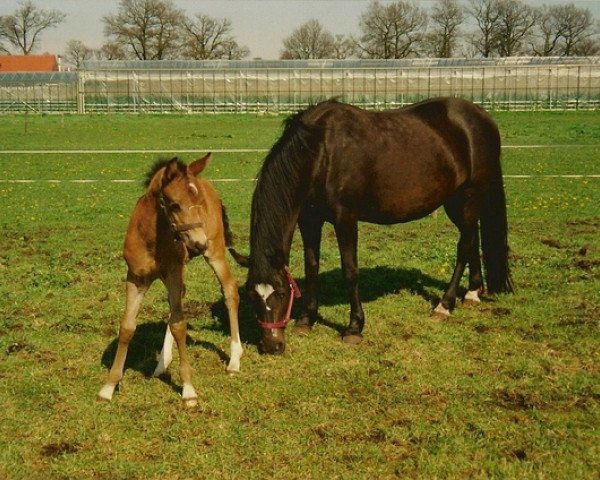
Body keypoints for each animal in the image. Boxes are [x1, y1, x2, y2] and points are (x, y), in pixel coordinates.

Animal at [99, 155, 245, 408]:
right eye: (174, 204)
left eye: (199, 202)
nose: (199, 244)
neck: (152, 239)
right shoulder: (136, 278)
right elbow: (127, 326)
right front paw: (109, 386)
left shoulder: (173, 273)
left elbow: (179, 325)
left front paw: (188, 390)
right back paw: (162, 363)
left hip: (215, 252)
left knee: (229, 289)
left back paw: (234, 359)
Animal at [246, 97, 512, 354]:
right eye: (252, 296)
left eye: (281, 292)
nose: (271, 346)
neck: (321, 153)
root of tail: (482, 116)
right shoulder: (309, 220)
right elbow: (311, 267)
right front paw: (307, 320)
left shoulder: (345, 218)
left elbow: (350, 271)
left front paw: (354, 327)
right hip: (457, 202)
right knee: (472, 238)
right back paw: (472, 293)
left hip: (470, 196)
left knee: (464, 245)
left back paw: (444, 306)